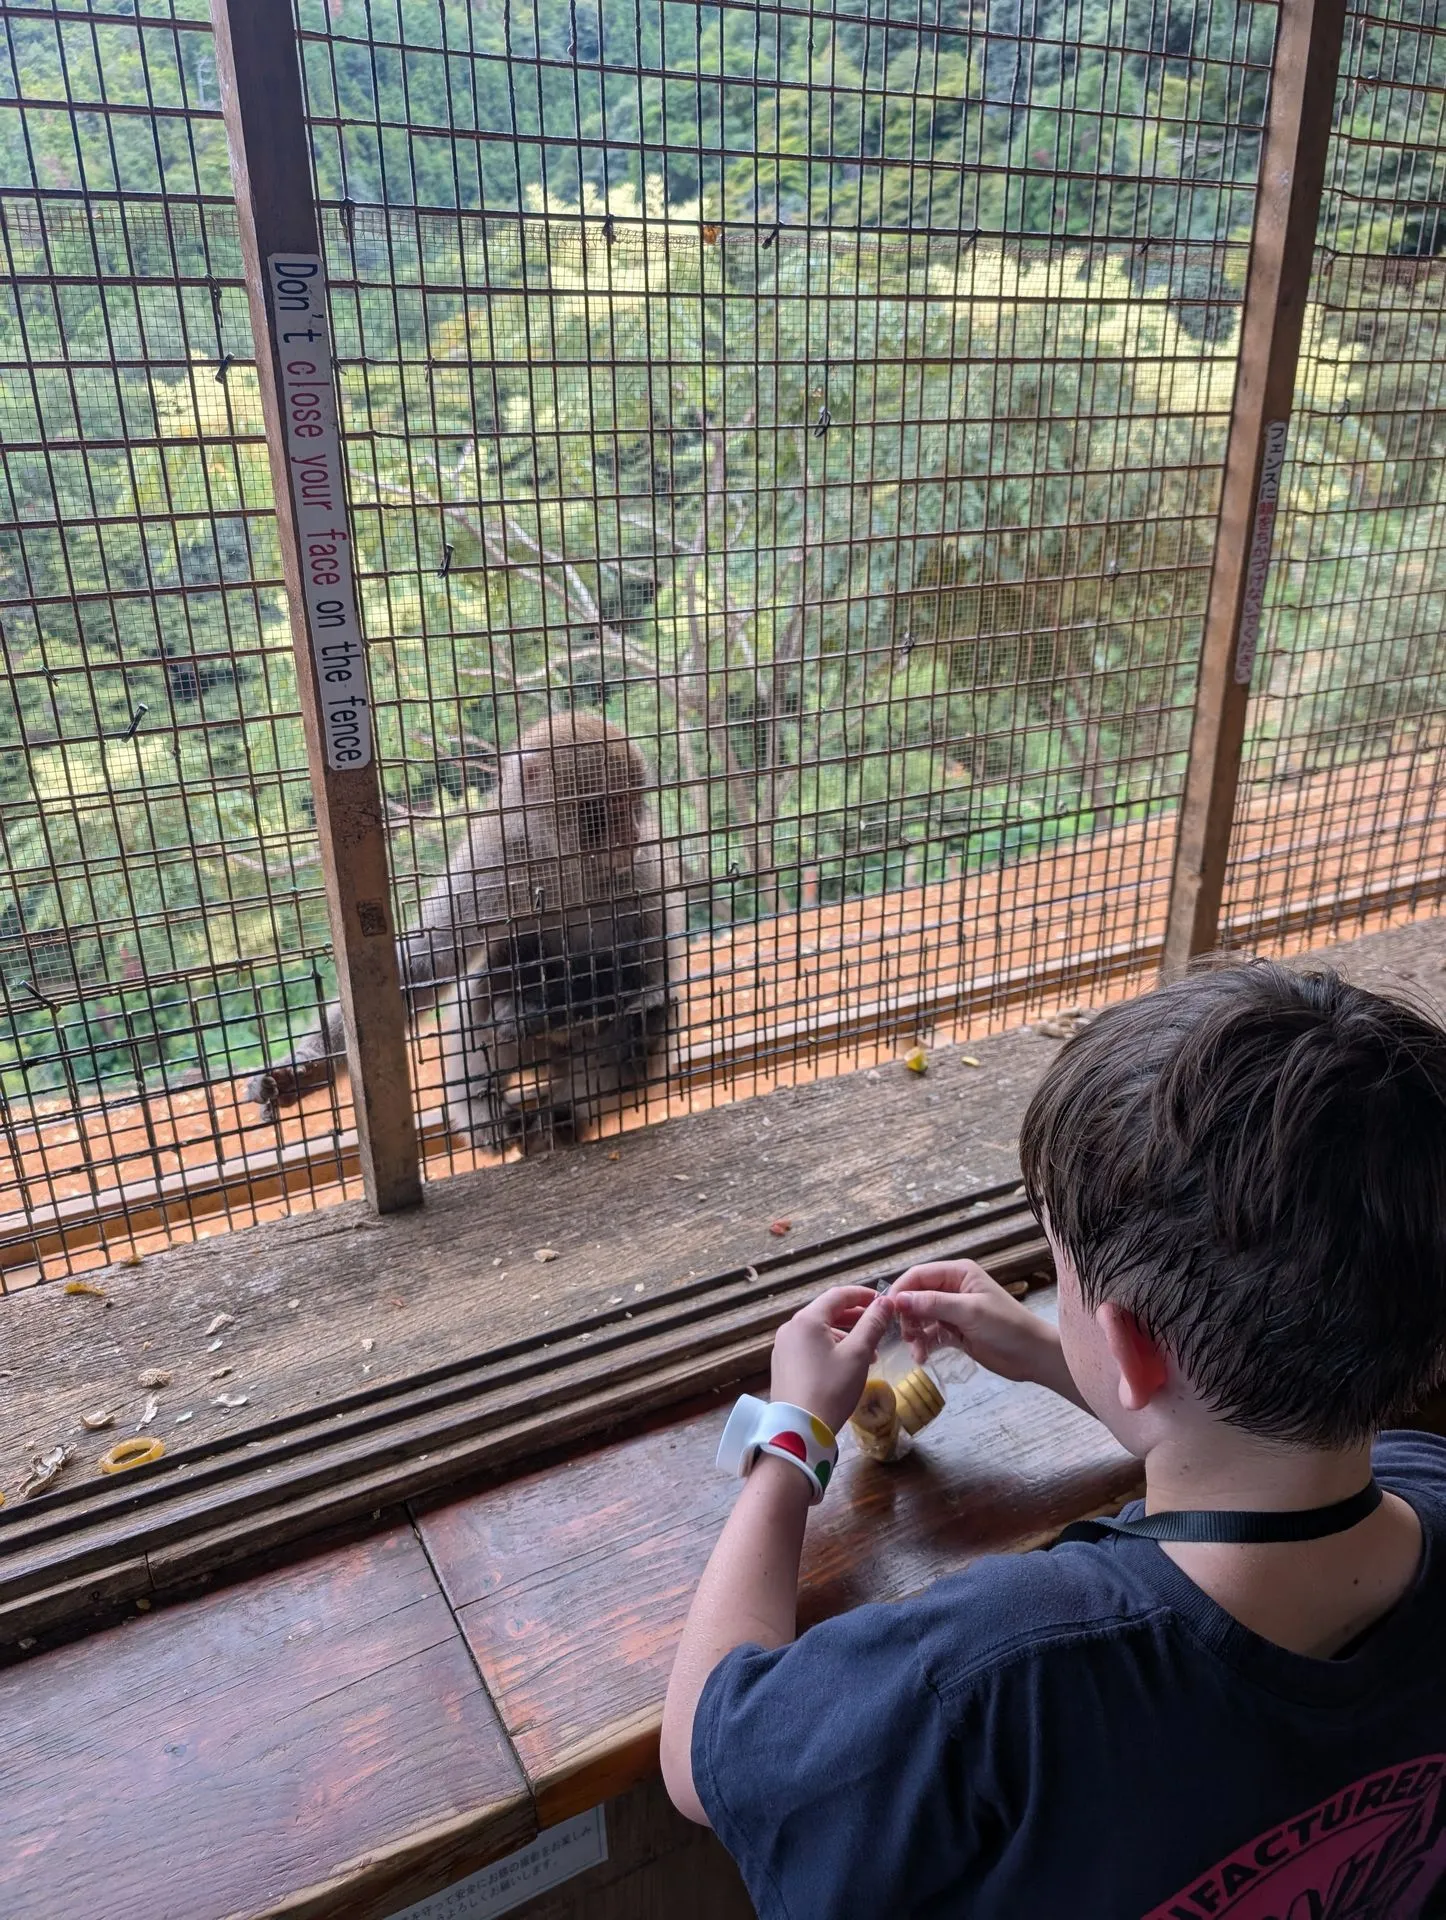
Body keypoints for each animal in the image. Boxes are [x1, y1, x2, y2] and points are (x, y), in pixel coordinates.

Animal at [248, 712, 685, 1150]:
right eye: (605, 806)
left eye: (632, 802)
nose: (631, 834)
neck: (563, 864)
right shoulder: (496, 858)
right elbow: (426, 961)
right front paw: (303, 1070)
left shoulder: (642, 870)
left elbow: (642, 971)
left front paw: (533, 1010)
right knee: (488, 981)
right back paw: (484, 1113)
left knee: (646, 1013)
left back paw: (564, 1114)